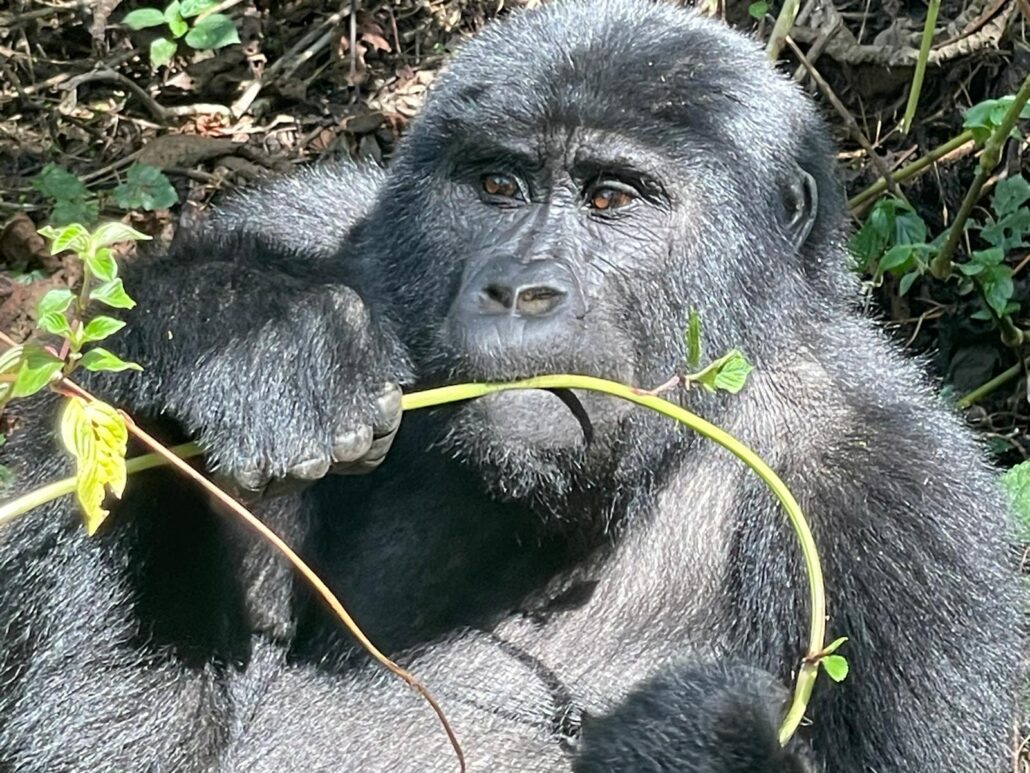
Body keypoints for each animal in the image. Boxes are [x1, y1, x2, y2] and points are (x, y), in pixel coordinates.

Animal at [0, 1, 1017, 773]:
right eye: (497, 184)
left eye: (612, 198)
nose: (520, 287)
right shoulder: (329, 224)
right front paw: (246, 332)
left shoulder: (900, 505)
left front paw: (698, 740)